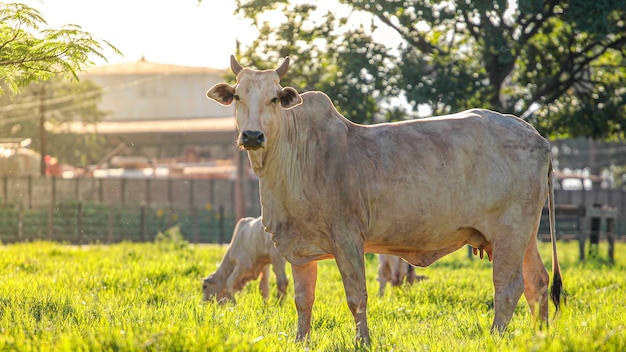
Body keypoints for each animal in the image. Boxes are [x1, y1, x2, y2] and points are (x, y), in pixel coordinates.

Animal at [207, 56, 564, 346]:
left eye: (274, 99)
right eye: (237, 96)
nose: (252, 136)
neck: (294, 156)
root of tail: (537, 136)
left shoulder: (348, 239)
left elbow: (356, 296)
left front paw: (362, 340)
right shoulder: (300, 248)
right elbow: (302, 298)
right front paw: (301, 340)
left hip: (509, 232)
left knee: (508, 287)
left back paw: (495, 336)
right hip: (526, 236)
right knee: (537, 283)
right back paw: (540, 335)